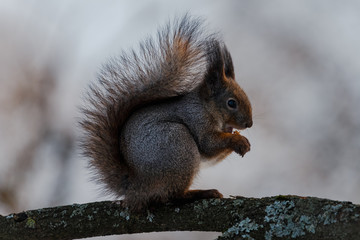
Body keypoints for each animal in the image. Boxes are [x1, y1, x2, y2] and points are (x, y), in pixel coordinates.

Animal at [80, 15, 252, 211]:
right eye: (231, 103)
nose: (249, 124)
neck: (206, 107)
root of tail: (138, 187)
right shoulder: (197, 119)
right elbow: (208, 144)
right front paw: (238, 140)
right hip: (177, 146)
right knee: (173, 195)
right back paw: (201, 193)